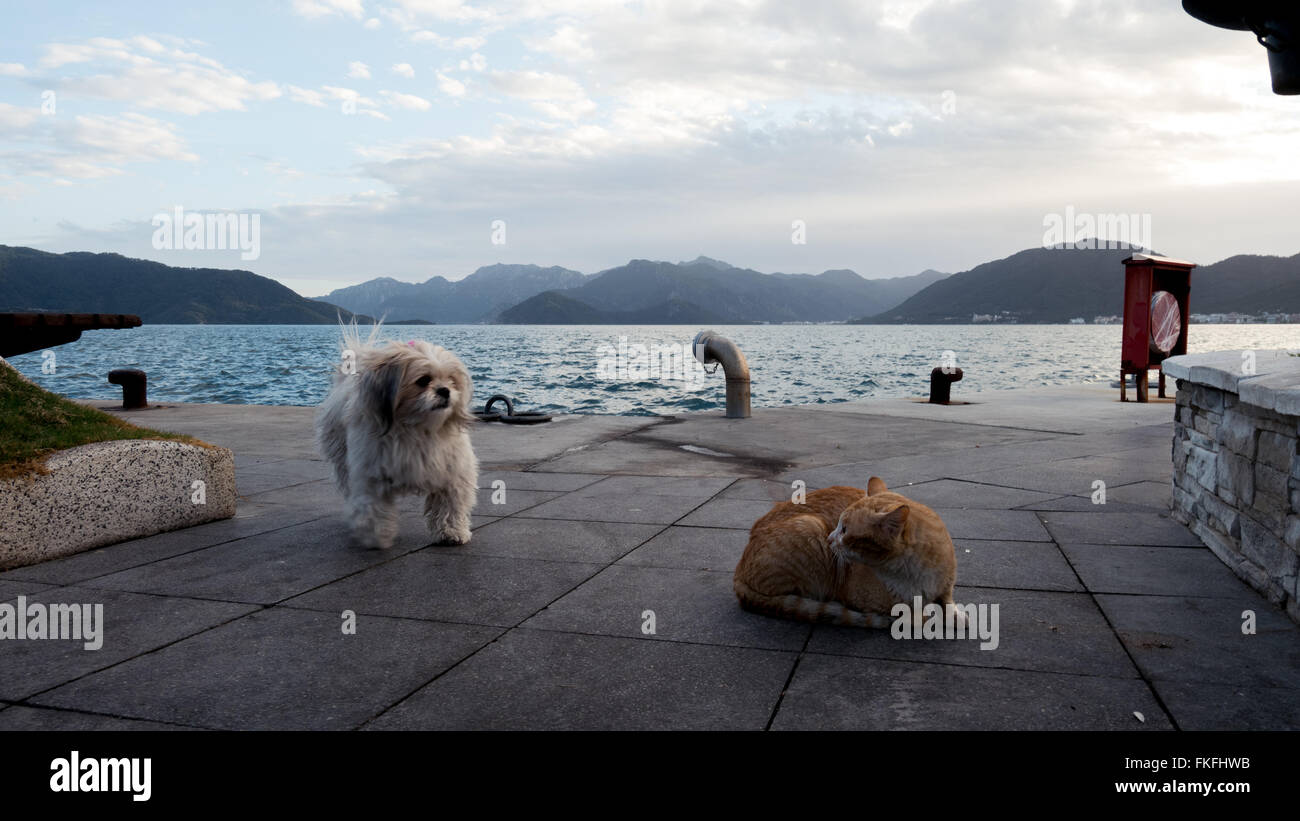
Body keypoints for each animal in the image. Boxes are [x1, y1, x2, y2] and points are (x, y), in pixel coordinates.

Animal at [314, 323, 478, 548]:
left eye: (452, 380)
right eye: (423, 380)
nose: (445, 390)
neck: (417, 428)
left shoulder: (452, 473)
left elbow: (450, 505)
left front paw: (451, 531)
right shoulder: (372, 475)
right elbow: (373, 506)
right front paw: (377, 536)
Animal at [738, 475, 961, 628]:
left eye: (844, 530)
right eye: (837, 525)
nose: (829, 539)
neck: (913, 572)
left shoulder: (946, 583)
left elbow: (948, 601)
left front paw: (956, 616)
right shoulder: (861, 598)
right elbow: (909, 612)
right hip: (810, 525)